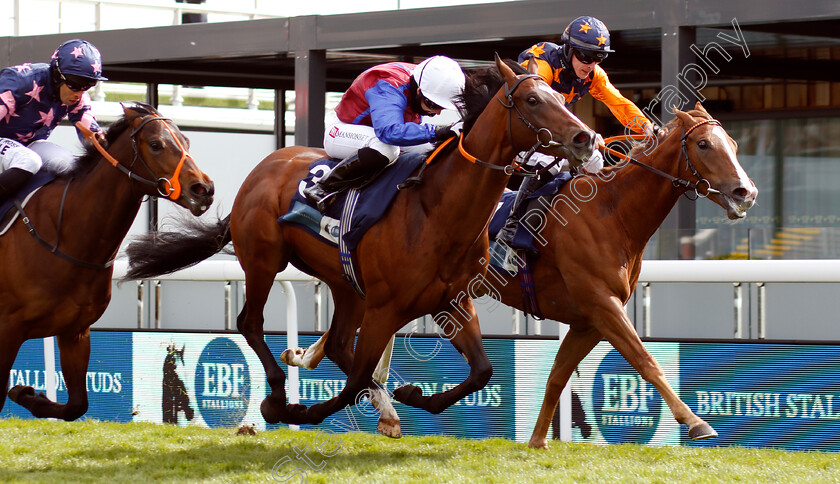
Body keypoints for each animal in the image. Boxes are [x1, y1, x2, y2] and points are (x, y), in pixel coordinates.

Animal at [0, 103, 215, 420]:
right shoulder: (8, 329)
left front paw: (27, 394)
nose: (203, 189)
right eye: (156, 144)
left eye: (186, 141)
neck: (64, 235)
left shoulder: (75, 331)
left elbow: (77, 405)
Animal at [123, 54, 596, 430]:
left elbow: (481, 371)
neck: (438, 209)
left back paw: (383, 405)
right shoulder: (386, 307)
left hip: (346, 283)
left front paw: (412, 395)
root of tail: (265, 166)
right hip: (263, 260)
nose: (585, 138)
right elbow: (351, 386)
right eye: (533, 101)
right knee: (250, 323)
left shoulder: (452, 301)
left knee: (336, 344)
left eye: (559, 98)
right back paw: (278, 395)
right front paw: (297, 411)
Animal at [280, 102, 756, 446]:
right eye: (705, 145)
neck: (612, 214)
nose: (745, 192)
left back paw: (314, 361)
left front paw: (537, 440)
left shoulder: (588, 320)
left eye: (734, 142)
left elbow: (557, 377)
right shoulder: (602, 305)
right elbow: (646, 361)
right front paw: (695, 423)